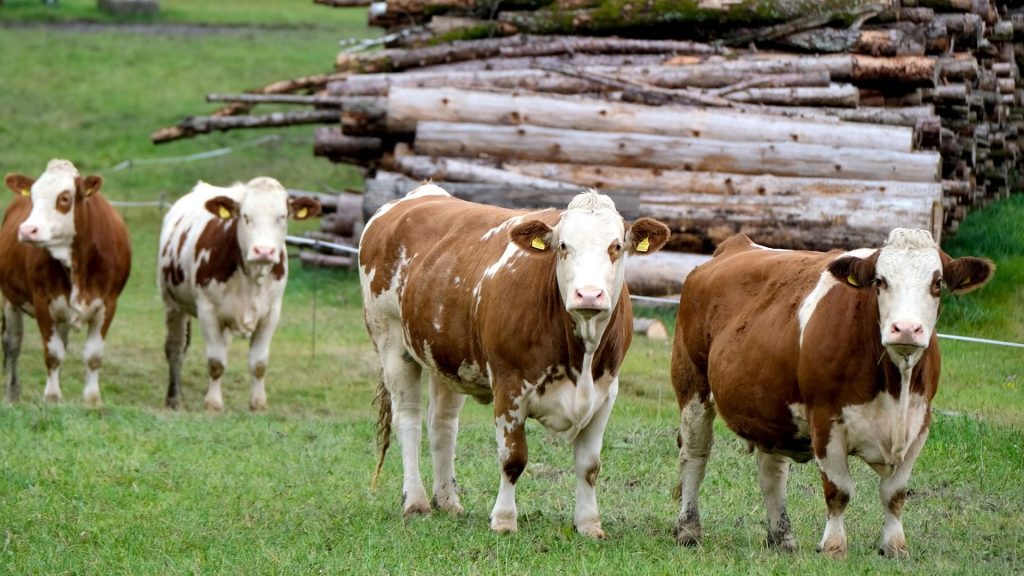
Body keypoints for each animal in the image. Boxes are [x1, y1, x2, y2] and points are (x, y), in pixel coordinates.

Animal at [0, 157, 132, 403]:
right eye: (32, 197)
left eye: (64, 198)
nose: (27, 230)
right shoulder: (43, 302)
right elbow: (53, 353)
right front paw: (52, 396)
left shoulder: (108, 303)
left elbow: (93, 355)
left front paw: (92, 398)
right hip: (9, 299)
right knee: (13, 343)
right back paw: (12, 391)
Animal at [157, 177, 319, 409]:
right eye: (245, 216)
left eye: (282, 216)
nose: (264, 251)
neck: (251, 276)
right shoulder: (207, 310)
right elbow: (216, 362)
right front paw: (213, 403)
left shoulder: (271, 313)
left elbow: (258, 363)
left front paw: (258, 403)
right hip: (172, 303)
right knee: (176, 348)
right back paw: (174, 398)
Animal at [360, 186, 671, 537]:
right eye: (563, 246)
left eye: (616, 246)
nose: (588, 295)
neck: (581, 357)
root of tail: (420, 193)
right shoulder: (509, 386)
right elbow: (513, 459)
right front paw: (504, 520)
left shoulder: (606, 392)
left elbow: (589, 466)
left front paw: (589, 524)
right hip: (391, 342)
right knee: (408, 421)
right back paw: (415, 502)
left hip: (446, 358)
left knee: (442, 424)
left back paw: (448, 501)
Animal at [671, 227, 991, 557]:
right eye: (880, 281)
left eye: (937, 283)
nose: (905, 329)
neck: (894, 388)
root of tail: (735, 245)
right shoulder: (825, 420)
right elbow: (839, 490)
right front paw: (834, 547)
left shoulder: (920, 424)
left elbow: (895, 493)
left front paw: (894, 546)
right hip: (691, 383)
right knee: (695, 453)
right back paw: (688, 529)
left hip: (771, 405)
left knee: (772, 471)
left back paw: (781, 538)